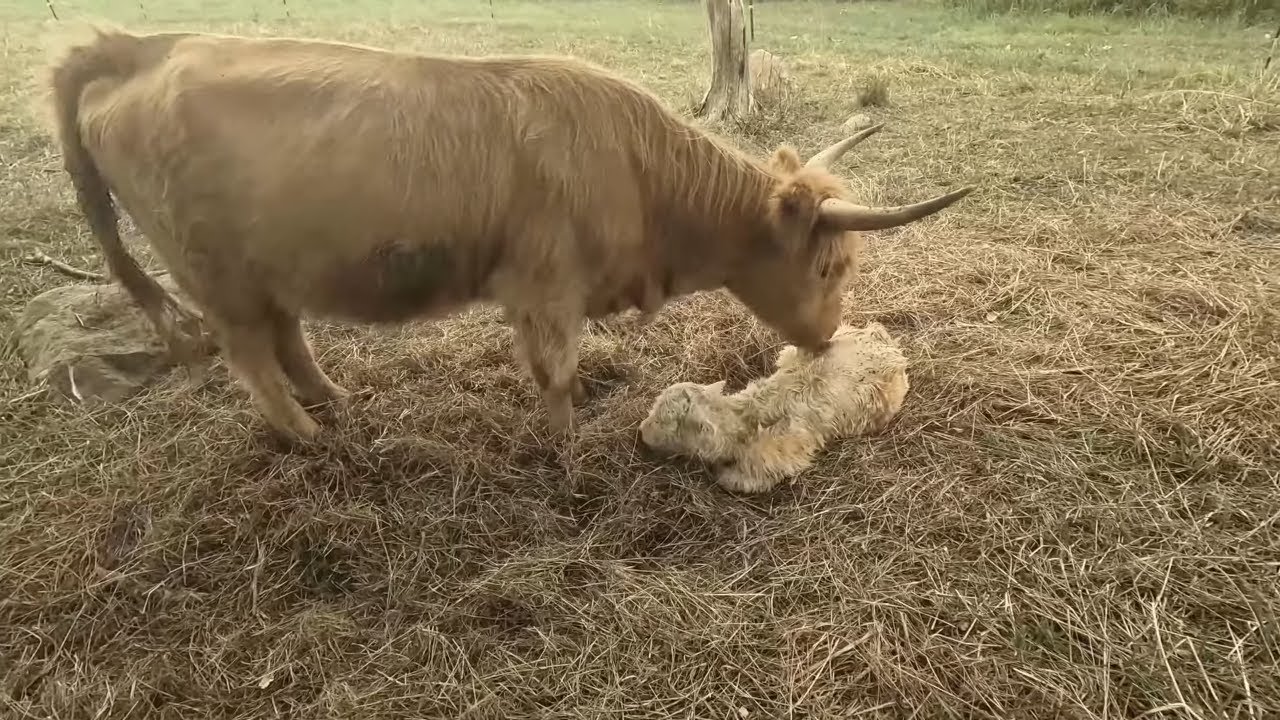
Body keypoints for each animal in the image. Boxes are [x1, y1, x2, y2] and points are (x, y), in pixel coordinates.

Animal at [45, 27, 974, 444]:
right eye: (831, 263)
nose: (825, 341)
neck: (640, 177)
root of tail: (141, 48)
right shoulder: (546, 288)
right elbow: (554, 374)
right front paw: (567, 451)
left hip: (268, 271)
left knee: (287, 336)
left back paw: (335, 403)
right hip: (217, 278)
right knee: (251, 358)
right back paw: (310, 438)